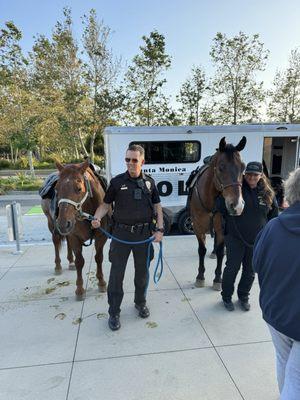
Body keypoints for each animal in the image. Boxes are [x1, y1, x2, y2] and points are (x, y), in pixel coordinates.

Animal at [41, 161, 108, 298]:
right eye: (57, 189)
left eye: (79, 188)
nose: (62, 223)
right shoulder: (74, 237)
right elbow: (80, 262)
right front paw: (80, 289)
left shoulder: (101, 236)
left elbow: (99, 257)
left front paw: (101, 282)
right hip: (51, 224)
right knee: (56, 241)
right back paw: (58, 266)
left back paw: (70, 261)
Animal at [190, 138, 246, 290]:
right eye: (221, 167)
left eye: (243, 167)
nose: (237, 205)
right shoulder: (197, 226)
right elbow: (201, 249)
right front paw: (200, 276)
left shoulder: (222, 227)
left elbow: (221, 251)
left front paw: (217, 279)